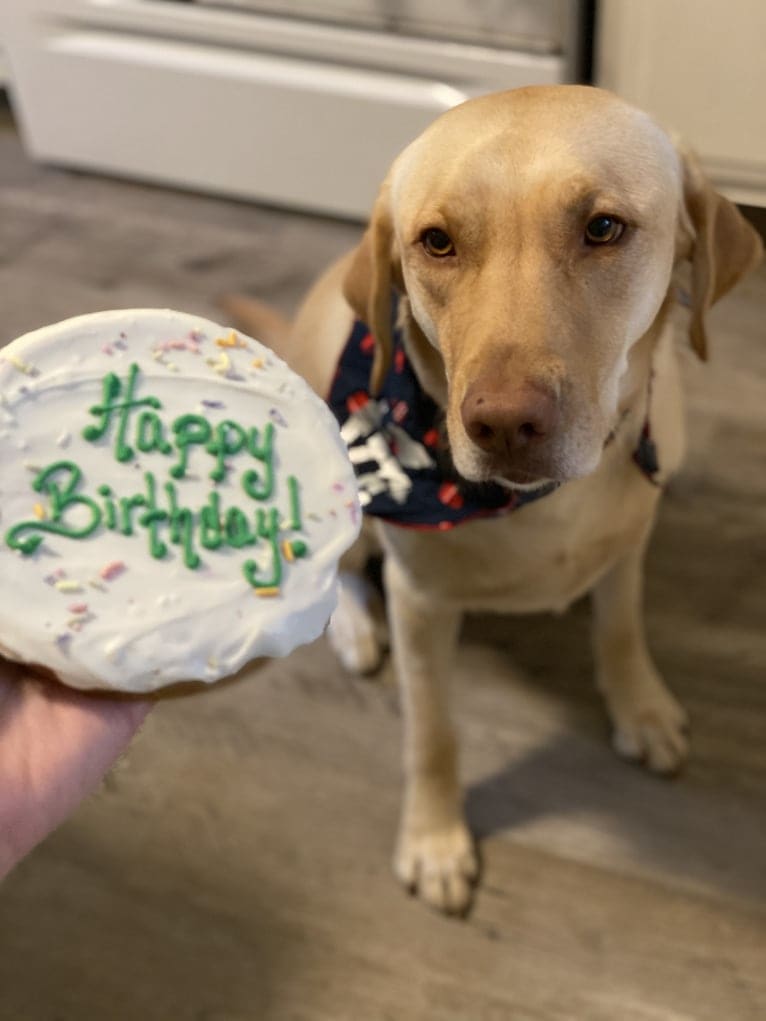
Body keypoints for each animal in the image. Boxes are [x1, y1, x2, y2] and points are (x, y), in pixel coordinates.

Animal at [221, 85, 763, 910]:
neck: (545, 500)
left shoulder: (630, 540)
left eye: (604, 227)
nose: (504, 423)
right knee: (346, 567)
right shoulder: (420, 604)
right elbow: (432, 732)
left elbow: (621, 628)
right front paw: (434, 837)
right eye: (437, 242)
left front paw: (639, 705)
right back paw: (354, 627)